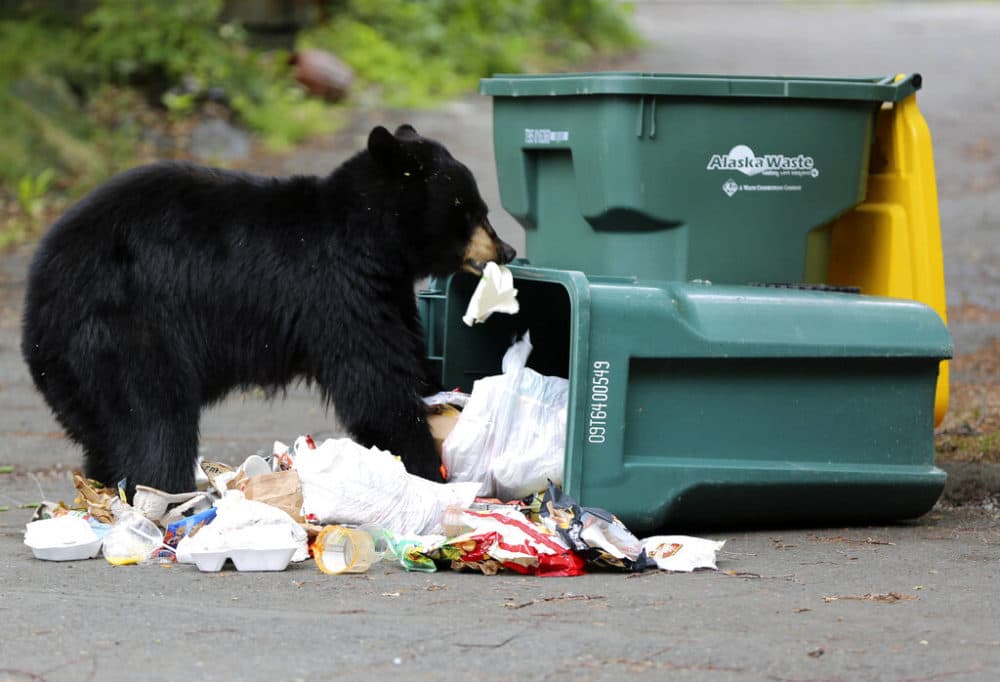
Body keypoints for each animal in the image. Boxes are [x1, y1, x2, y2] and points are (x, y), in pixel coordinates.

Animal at [21, 124, 515, 497]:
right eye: (469, 209)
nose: (506, 250)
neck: (373, 239)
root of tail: (38, 301)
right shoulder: (338, 291)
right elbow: (375, 383)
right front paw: (428, 472)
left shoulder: (388, 291)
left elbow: (407, 354)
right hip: (128, 327)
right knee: (156, 419)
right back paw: (167, 496)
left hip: (79, 372)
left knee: (108, 431)